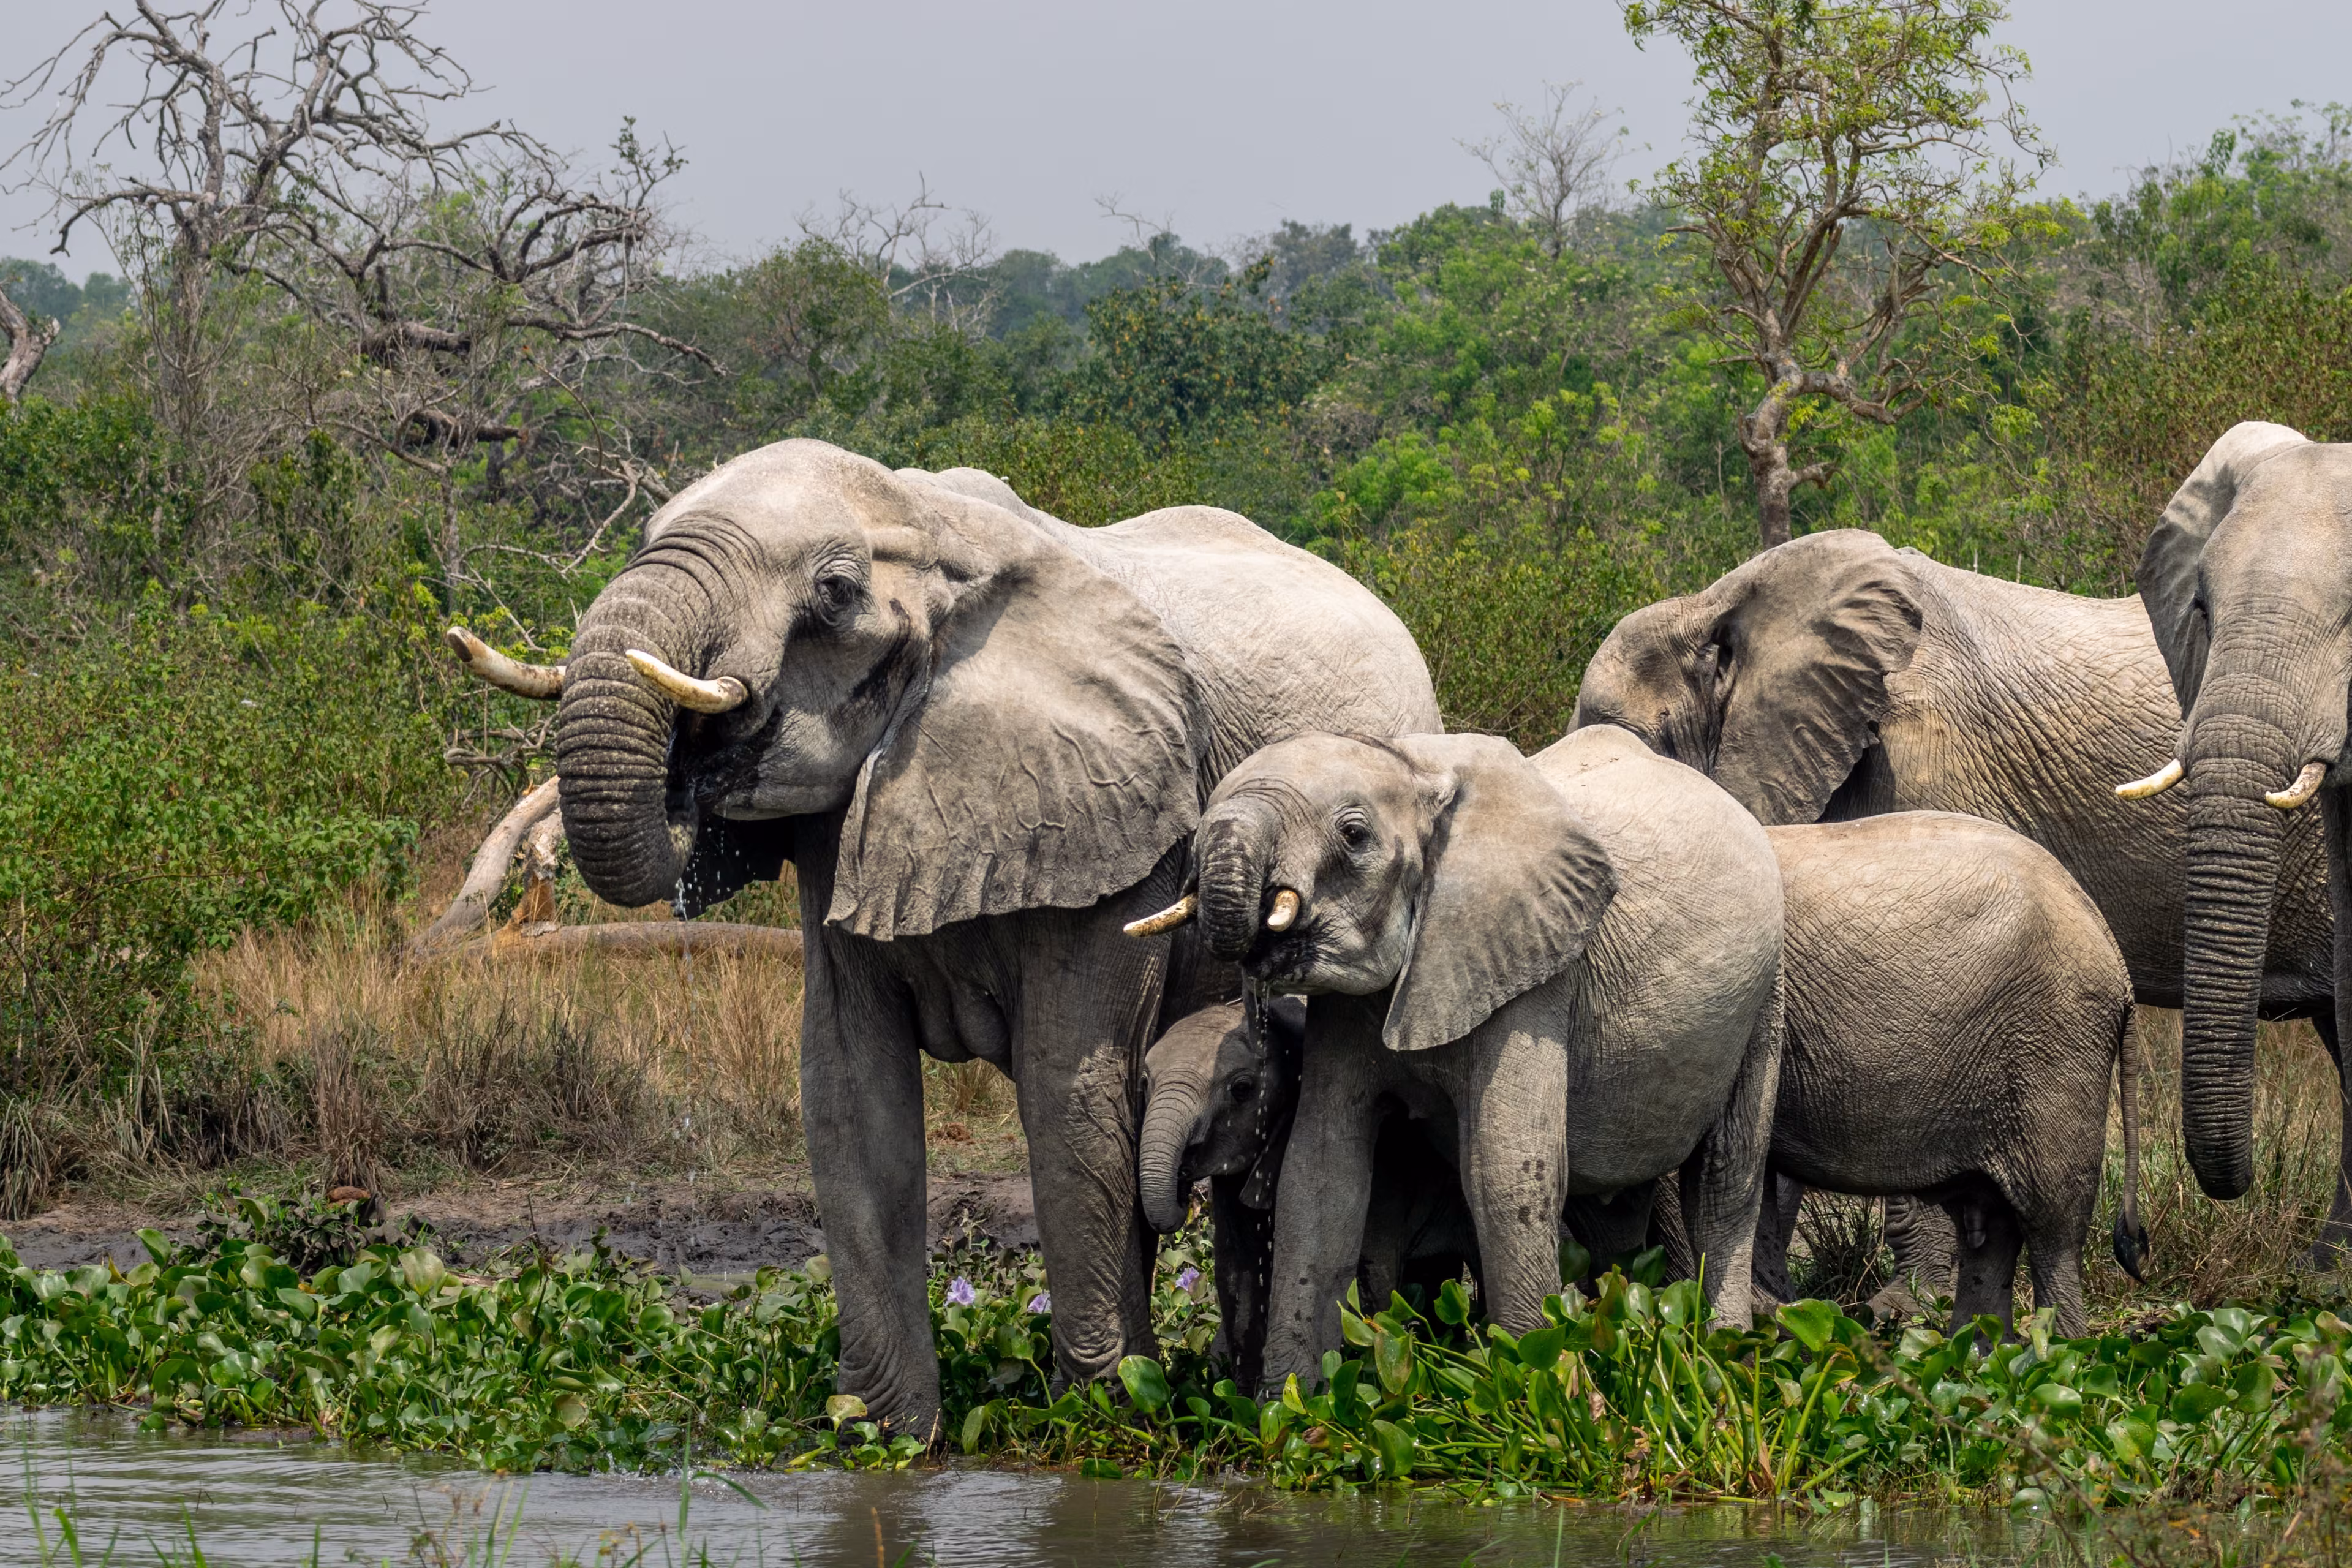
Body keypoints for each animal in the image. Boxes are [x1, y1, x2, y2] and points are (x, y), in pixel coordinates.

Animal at [501, 440, 1437, 1437]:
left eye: (835, 590)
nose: (693, 754)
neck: (930, 526)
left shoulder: (1117, 814)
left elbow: (1068, 1088)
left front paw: (1101, 1423)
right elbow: (849, 1093)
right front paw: (880, 1436)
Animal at [1134, 723, 1783, 1390]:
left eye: (1353, 834)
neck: (1416, 767)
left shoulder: (1533, 968)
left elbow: (1505, 1169)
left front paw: (1537, 1380)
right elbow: (1320, 1175)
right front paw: (1292, 1401)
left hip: (1765, 989)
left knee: (1727, 1175)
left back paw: (1726, 1360)